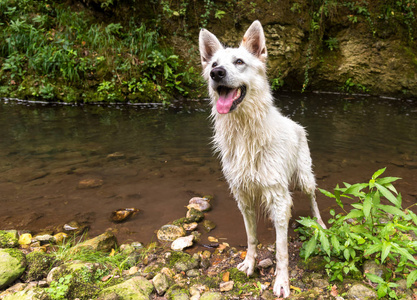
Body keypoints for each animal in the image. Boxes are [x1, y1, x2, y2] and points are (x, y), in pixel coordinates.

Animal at [198, 19, 324, 296]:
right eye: (213, 64)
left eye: (239, 62)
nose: (216, 73)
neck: (245, 132)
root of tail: (294, 122)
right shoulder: (243, 197)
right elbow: (252, 237)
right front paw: (249, 264)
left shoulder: (277, 195)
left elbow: (281, 249)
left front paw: (282, 282)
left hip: (304, 177)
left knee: (313, 197)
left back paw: (319, 222)